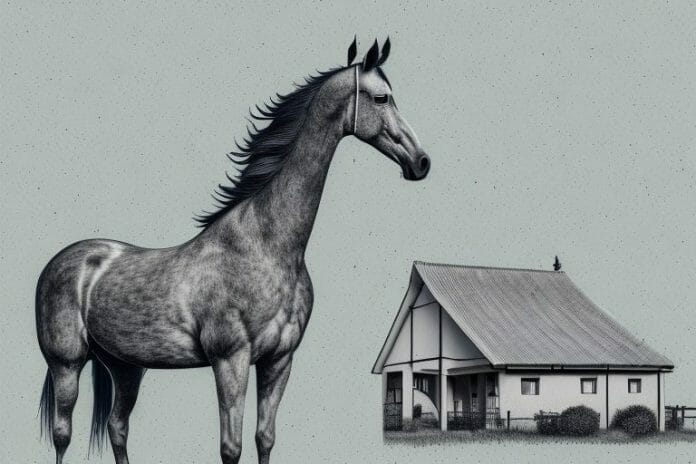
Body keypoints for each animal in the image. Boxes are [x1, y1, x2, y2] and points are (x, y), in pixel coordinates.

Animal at [36, 37, 430, 464]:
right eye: (381, 97)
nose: (421, 162)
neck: (267, 245)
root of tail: (68, 260)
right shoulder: (230, 359)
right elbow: (231, 446)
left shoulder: (278, 361)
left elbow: (264, 438)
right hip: (67, 364)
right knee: (62, 434)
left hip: (126, 367)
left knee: (117, 428)